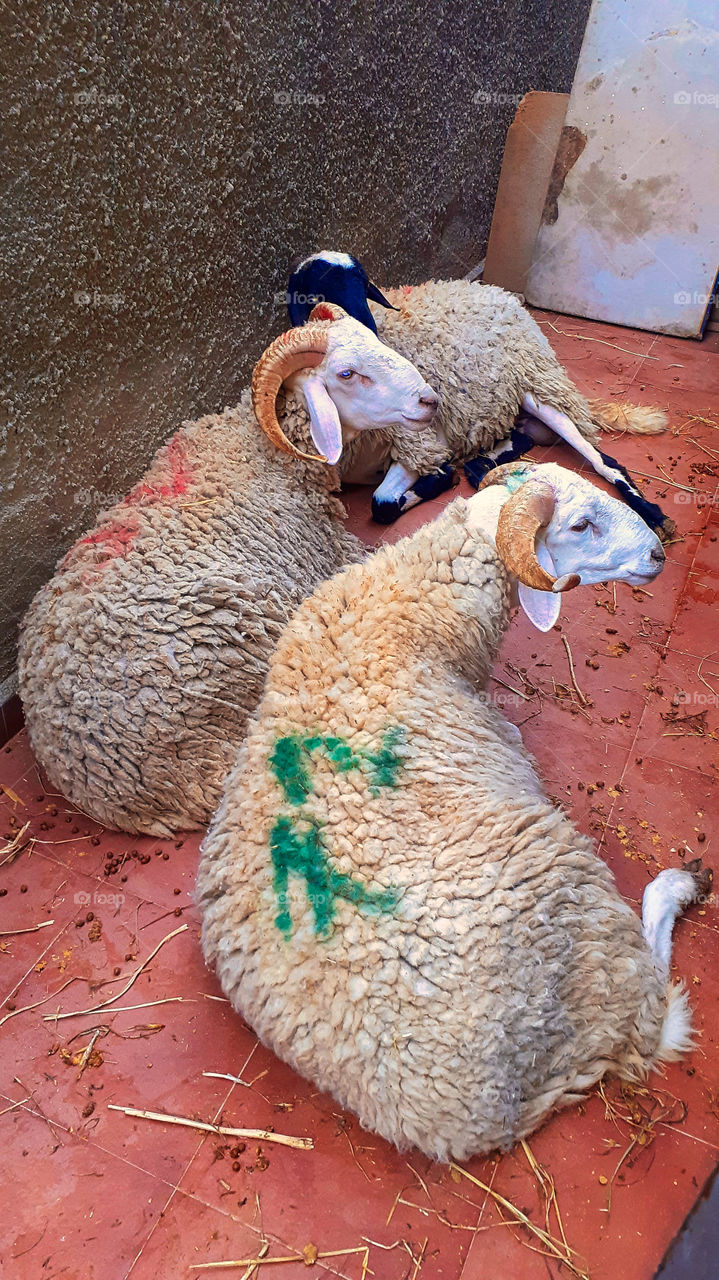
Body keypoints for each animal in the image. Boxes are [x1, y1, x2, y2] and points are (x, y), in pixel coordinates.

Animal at [197, 459, 708, 1163]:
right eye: (581, 524)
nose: (659, 554)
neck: (410, 601)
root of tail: (476, 1117)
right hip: (580, 911)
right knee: (652, 997)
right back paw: (682, 885)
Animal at [286, 252, 674, 538]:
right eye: (318, 291)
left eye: (363, 284)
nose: (369, 330)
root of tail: (499, 293)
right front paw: (450, 474)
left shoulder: (420, 443)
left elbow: (381, 504)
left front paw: (441, 478)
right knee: (521, 439)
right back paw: (481, 464)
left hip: (536, 386)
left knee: (602, 460)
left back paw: (655, 516)